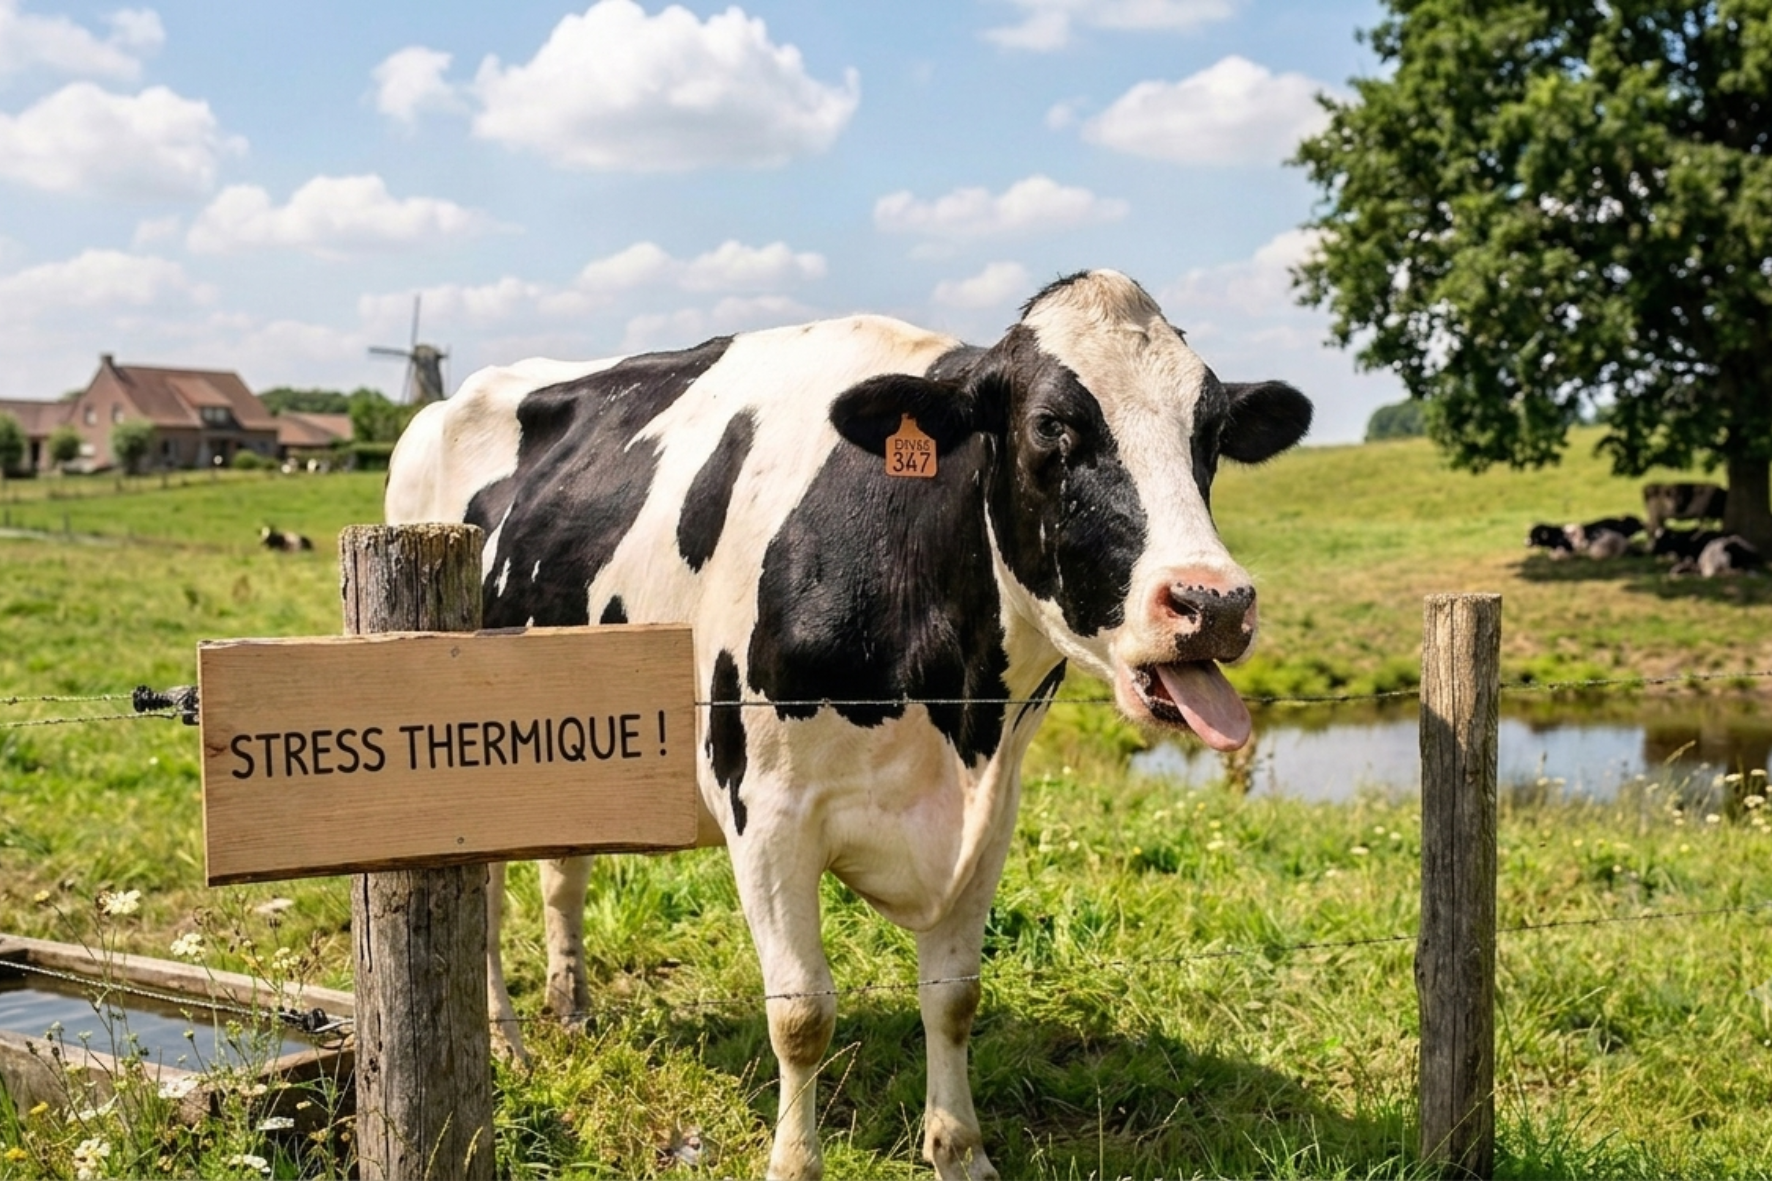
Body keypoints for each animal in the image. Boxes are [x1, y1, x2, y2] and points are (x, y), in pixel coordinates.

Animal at [384, 270, 1312, 1181]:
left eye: (1211, 432)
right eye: (1052, 426)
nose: (1214, 601)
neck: (954, 714)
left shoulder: (992, 810)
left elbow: (955, 996)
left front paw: (961, 1150)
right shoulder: (767, 810)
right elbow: (802, 1012)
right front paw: (795, 1163)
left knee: (561, 873)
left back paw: (570, 1009)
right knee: (485, 901)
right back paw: (507, 1042)